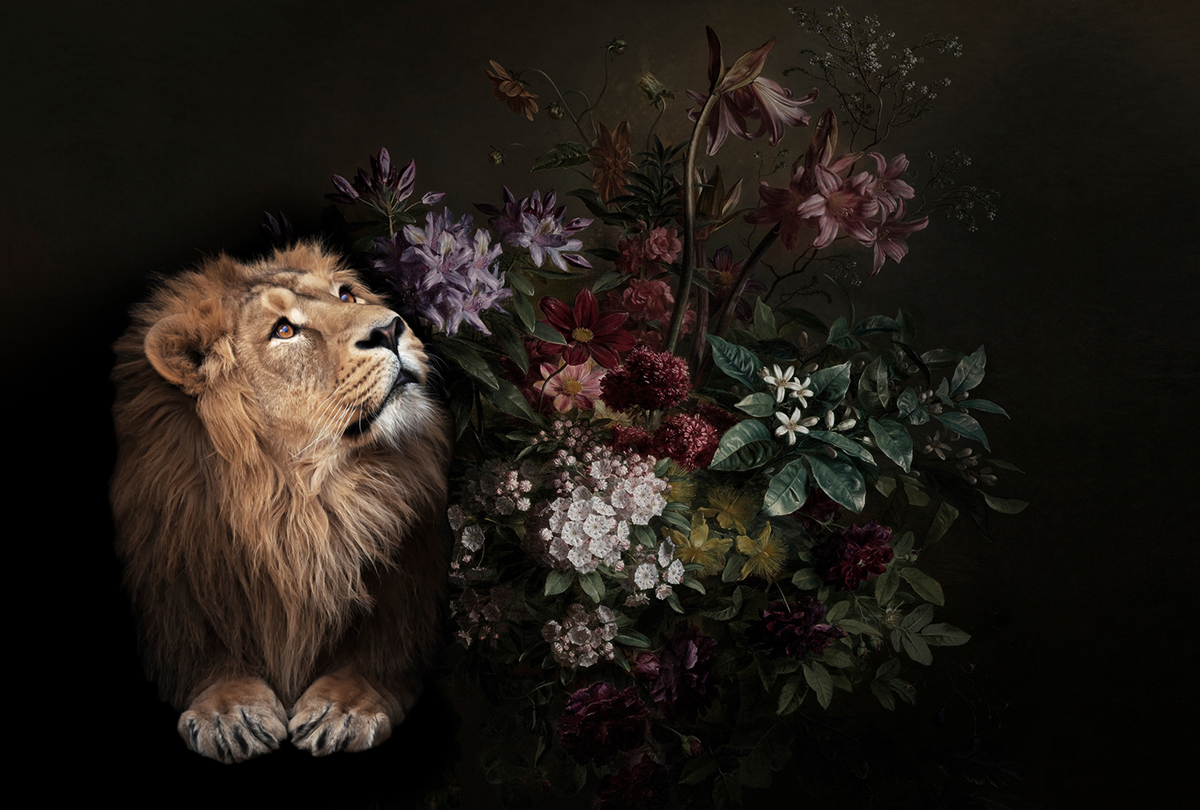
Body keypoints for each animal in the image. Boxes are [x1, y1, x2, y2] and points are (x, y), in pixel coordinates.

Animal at [110, 242, 452, 763]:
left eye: (346, 295)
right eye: (284, 331)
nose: (391, 328)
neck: (300, 504)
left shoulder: (403, 591)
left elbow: (378, 655)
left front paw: (344, 708)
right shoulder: (181, 589)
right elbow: (206, 657)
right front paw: (230, 713)